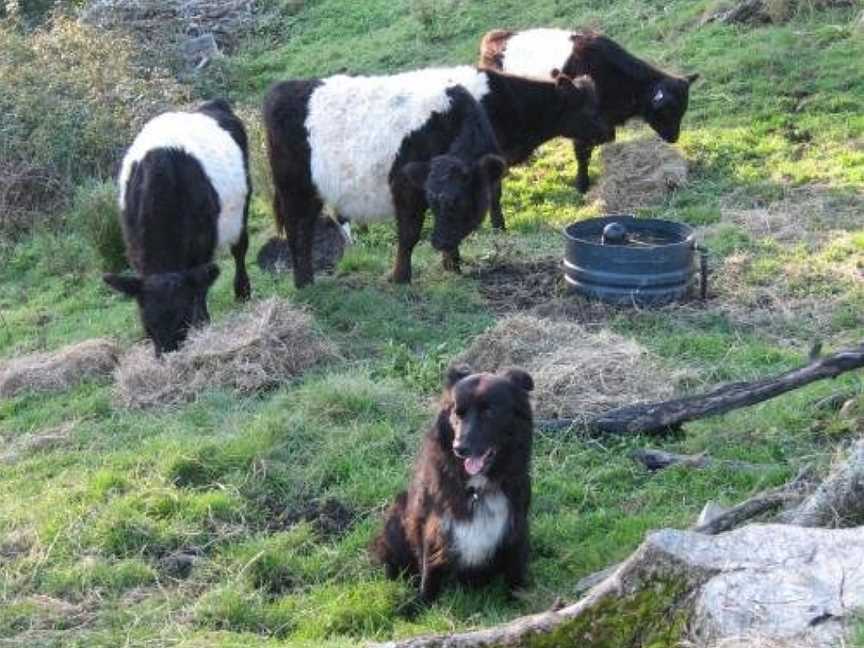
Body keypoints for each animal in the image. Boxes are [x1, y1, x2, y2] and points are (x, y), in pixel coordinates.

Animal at [104, 98, 251, 356]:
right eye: (147, 324)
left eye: (183, 318)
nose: (167, 355)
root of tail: (213, 104)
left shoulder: (202, 244)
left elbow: (200, 288)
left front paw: (203, 324)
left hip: (243, 203)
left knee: (240, 248)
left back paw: (242, 291)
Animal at [264, 71, 506, 288]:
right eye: (439, 199)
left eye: (458, 200)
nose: (438, 241)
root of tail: (282, 88)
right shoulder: (405, 188)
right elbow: (409, 233)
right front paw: (401, 278)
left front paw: (452, 266)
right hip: (293, 188)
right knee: (297, 228)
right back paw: (303, 283)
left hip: (314, 191)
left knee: (305, 226)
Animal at [372, 364, 532, 604]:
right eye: (458, 413)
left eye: (490, 412)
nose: (460, 448)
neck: (476, 488)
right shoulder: (435, 524)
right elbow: (429, 569)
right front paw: (421, 603)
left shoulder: (516, 521)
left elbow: (515, 566)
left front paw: (519, 597)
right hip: (397, 514)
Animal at [482, 28, 700, 195]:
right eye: (668, 111)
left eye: (682, 110)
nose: (674, 138)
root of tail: (495, 37)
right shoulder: (581, 123)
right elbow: (582, 154)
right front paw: (582, 185)